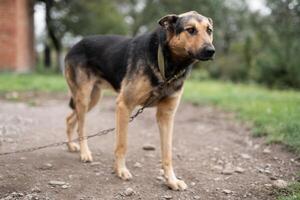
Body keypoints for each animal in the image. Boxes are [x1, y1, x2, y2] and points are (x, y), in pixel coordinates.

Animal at [64, 10, 214, 191]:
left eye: (209, 30)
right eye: (190, 30)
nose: (211, 50)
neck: (168, 66)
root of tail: (75, 45)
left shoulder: (166, 115)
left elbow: (167, 153)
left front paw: (171, 180)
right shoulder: (124, 105)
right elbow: (122, 144)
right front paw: (120, 170)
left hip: (93, 98)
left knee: (70, 119)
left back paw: (71, 146)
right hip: (84, 97)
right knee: (81, 126)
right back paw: (85, 153)